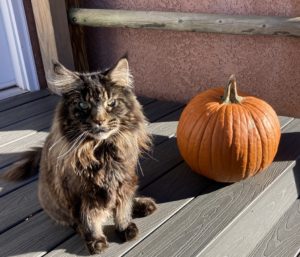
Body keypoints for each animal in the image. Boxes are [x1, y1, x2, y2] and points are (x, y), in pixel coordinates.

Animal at [1, 57, 157, 252]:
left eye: (111, 103)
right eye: (83, 105)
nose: (99, 120)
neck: (101, 152)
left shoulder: (123, 182)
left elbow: (122, 209)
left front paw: (125, 227)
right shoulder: (79, 195)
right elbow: (89, 221)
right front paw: (96, 242)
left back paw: (143, 204)